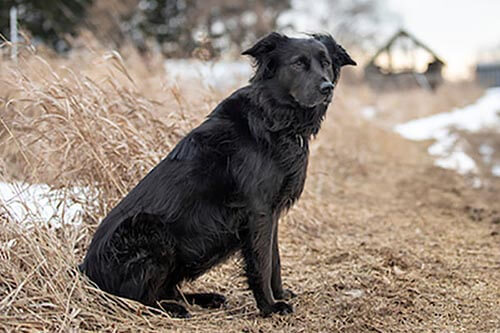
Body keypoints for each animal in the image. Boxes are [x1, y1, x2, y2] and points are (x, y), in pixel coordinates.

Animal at [80, 31, 356, 316]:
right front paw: (269, 306)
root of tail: (85, 272)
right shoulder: (258, 211)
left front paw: (279, 294)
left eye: (325, 63)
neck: (274, 119)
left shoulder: (273, 213)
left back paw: (204, 298)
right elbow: (262, 262)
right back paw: (173, 309)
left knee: (168, 289)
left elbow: (275, 260)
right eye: (298, 64)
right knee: (141, 299)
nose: (327, 88)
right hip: (148, 231)